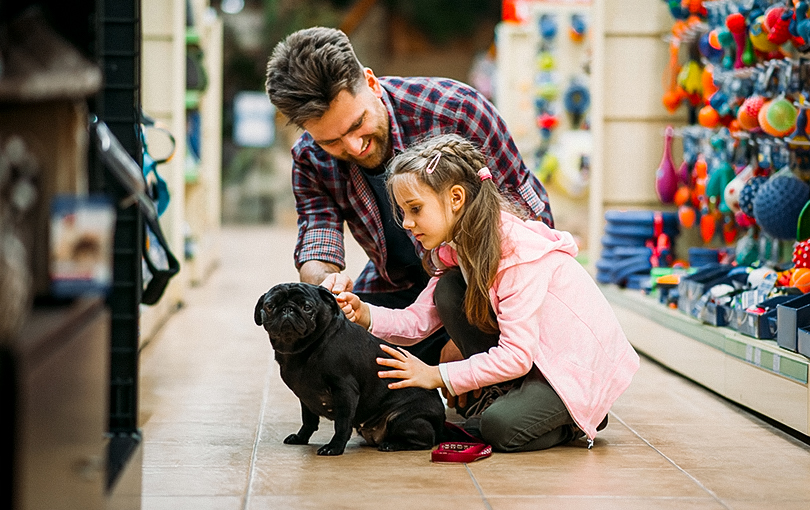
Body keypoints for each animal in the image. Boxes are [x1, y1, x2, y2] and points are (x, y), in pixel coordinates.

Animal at [254, 280, 446, 456]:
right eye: (269, 306)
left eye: (306, 307)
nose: (287, 309)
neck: (302, 349)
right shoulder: (305, 397)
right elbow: (308, 421)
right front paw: (301, 438)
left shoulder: (345, 390)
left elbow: (342, 424)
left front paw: (334, 447)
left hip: (403, 419)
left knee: (425, 440)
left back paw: (392, 444)